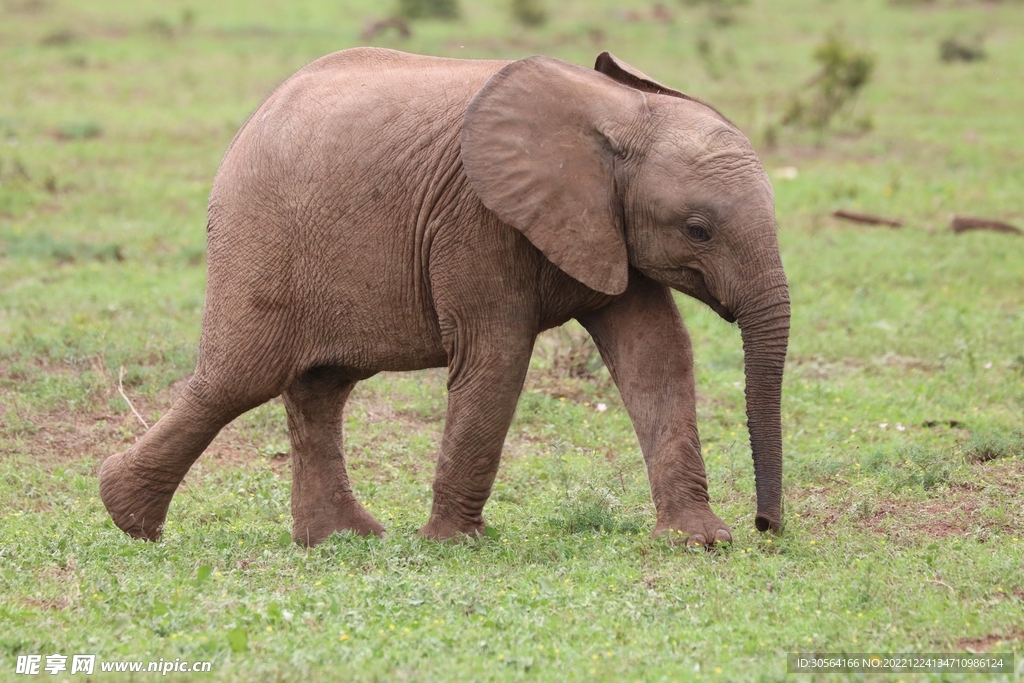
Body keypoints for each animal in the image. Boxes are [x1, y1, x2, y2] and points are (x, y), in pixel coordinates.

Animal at [99, 47, 790, 548]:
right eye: (698, 230)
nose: (766, 527)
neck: (620, 113)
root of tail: (258, 113)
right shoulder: (478, 220)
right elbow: (496, 357)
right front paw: (454, 544)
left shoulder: (607, 228)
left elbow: (657, 354)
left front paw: (701, 542)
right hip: (258, 234)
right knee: (237, 380)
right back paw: (127, 517)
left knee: (320, 388)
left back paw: (344, 539)